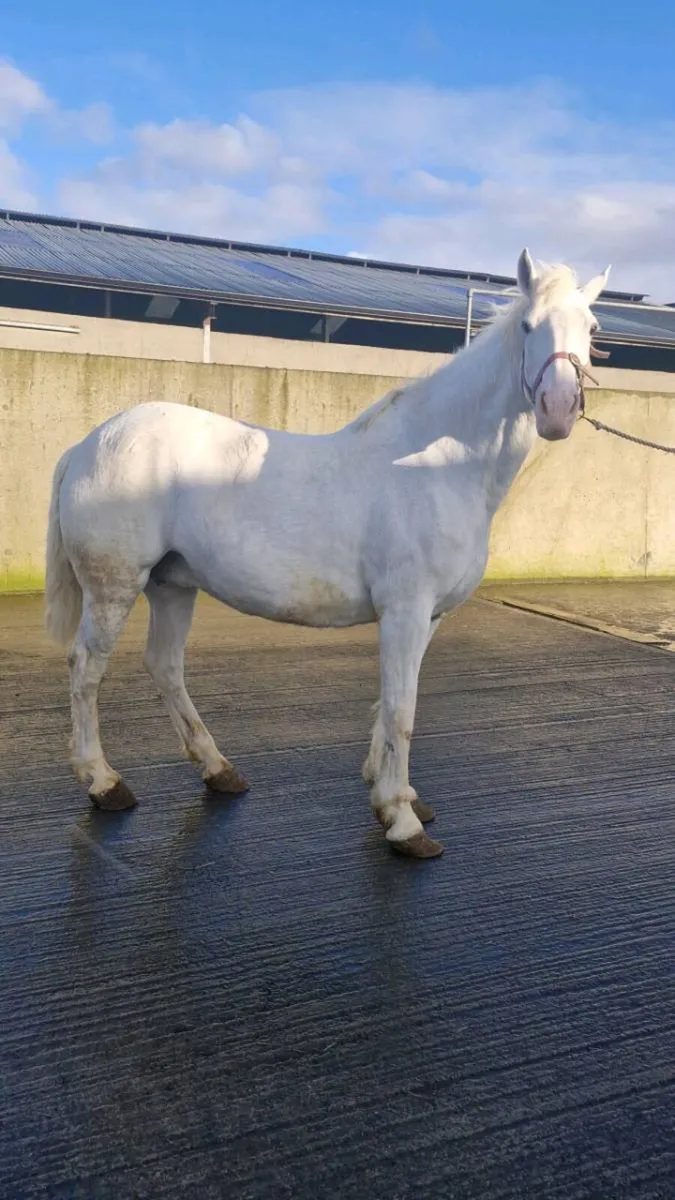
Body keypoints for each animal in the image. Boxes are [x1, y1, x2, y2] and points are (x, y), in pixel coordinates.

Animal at [45, 249, 610, 859]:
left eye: (592, 329)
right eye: (528, 326)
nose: (558, 408)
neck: (438, 464)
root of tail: (86, 445)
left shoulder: (427, 617)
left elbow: (390, 706)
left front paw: (397, 798)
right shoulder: (405, 612)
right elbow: (401, 709)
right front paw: (403, 825)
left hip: (173, 584)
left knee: (165, 666)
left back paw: (219, 770)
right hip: (115, 586)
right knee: (86, 668)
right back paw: (104, 782)